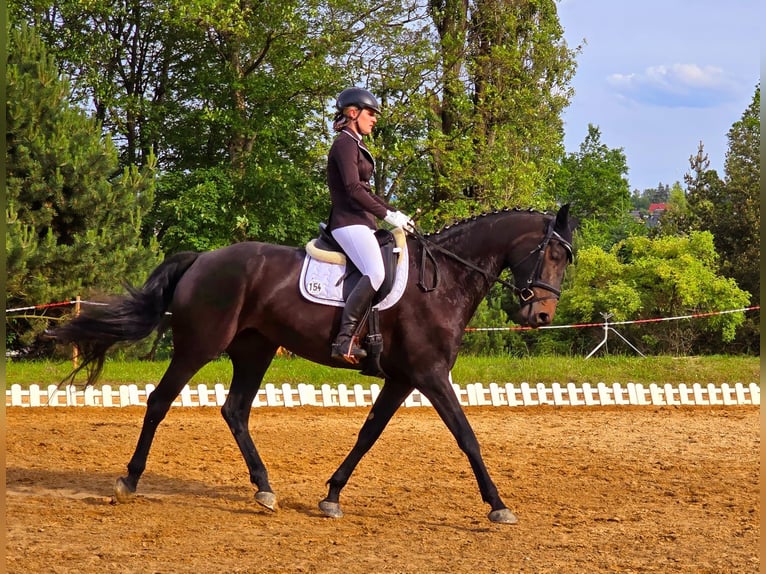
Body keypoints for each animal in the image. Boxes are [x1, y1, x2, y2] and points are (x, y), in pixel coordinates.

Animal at [51, 204, 575, 524]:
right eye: (552, 252)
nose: (541, 316)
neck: (443, 279)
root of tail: (202, 259)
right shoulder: (429, 375)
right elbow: (467, 437)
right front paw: (498, 505)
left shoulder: (403, 379)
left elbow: (368, 434)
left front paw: (332, 496)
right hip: (198, 346)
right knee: (160, 401)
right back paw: (129, 479)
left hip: (255, 350)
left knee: (235, 411)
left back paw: (264, 489)